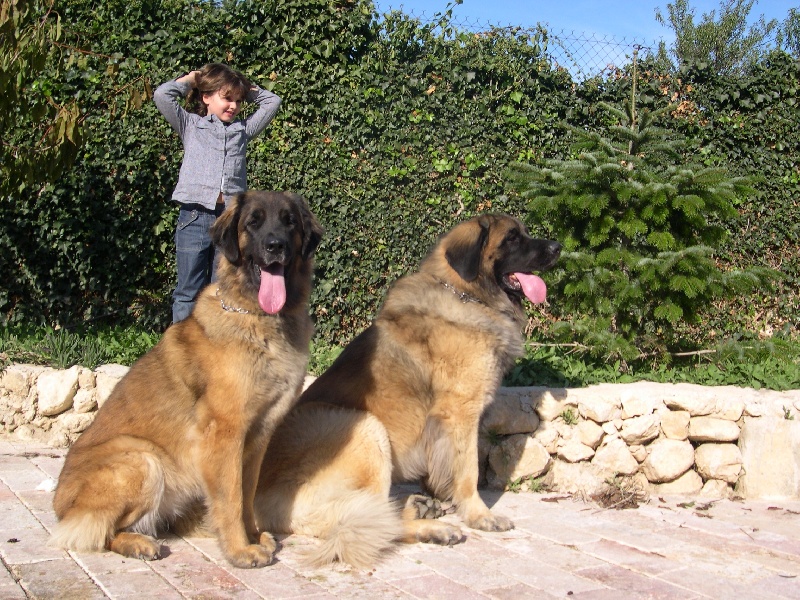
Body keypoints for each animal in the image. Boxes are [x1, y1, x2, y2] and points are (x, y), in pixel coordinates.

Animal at [50, 191, 323, 568]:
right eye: (252, 223)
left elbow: (247, 493)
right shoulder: (225, 434)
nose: (275, 246)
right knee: (100, 531)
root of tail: (59, 507)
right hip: (143, 460)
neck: (260, 318)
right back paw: (138, 544)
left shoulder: (258, 437)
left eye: (289, 222)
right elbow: (231, 498)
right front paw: (239, 549)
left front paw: (253, 535)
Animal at [253, 213, 561, 567]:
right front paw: (480, 515)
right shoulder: (462, 412)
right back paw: (435, 529)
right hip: (365, 429)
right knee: (368, 522)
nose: (558, 247)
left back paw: (419, 508)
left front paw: (439, 495)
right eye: (512, 238)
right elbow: (469, 470)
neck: (464, 293)